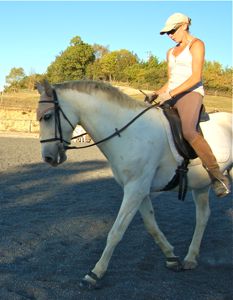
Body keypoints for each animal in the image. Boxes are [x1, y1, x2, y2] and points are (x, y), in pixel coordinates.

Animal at [36, 79, 231, 288]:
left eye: (47, 116)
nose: (48, 157)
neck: (127, 132)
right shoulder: (139, 189)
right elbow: (151, 226)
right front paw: (171, 258)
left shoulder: (135, 189)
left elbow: (116, 232)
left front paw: (95, 273)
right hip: (201, 185)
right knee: (202, 217)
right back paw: (191, 258)